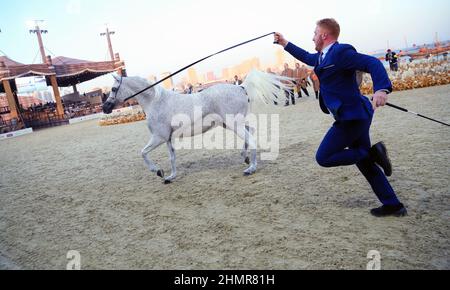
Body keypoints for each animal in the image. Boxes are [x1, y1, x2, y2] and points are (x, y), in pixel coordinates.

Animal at [101, 69, 292, 184]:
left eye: (113, 89)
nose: (105, 108)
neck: (156, 101)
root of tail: (242, 87)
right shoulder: (168, 139)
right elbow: (172, 158)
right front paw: (170, 177)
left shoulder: (158, 137)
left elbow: (143, 153)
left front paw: (157, 171)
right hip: (232, 123)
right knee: (250, 131)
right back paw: (244, 158)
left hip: (233, 124)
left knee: (251, 139)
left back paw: (250, 168)